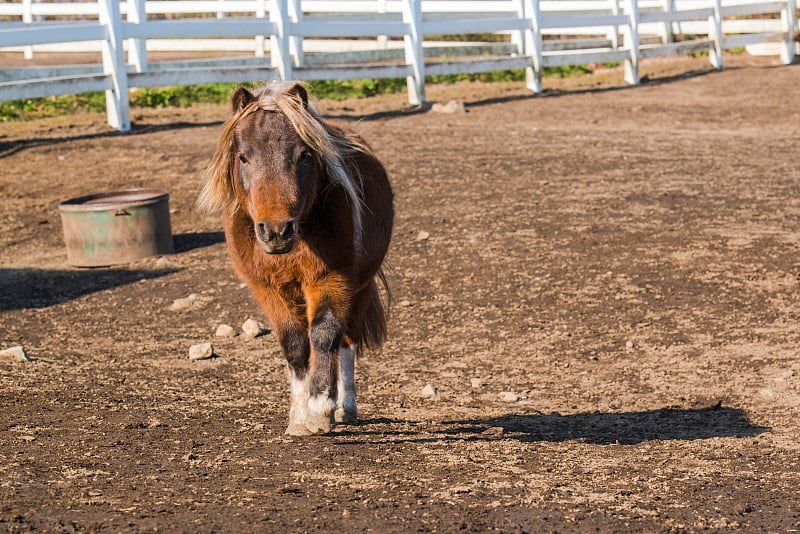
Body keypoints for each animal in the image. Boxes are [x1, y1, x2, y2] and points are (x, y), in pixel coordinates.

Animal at [200, 82, 394, 436]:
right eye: (243, 157)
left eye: (304, 156)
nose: (276, 231)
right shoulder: (269, 288)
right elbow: (294, 345)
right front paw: (299, 418)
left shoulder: (332, 279)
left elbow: (323, 335)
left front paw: (319, 407)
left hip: (359, 287)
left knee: (346, 340)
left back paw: (344, 408)